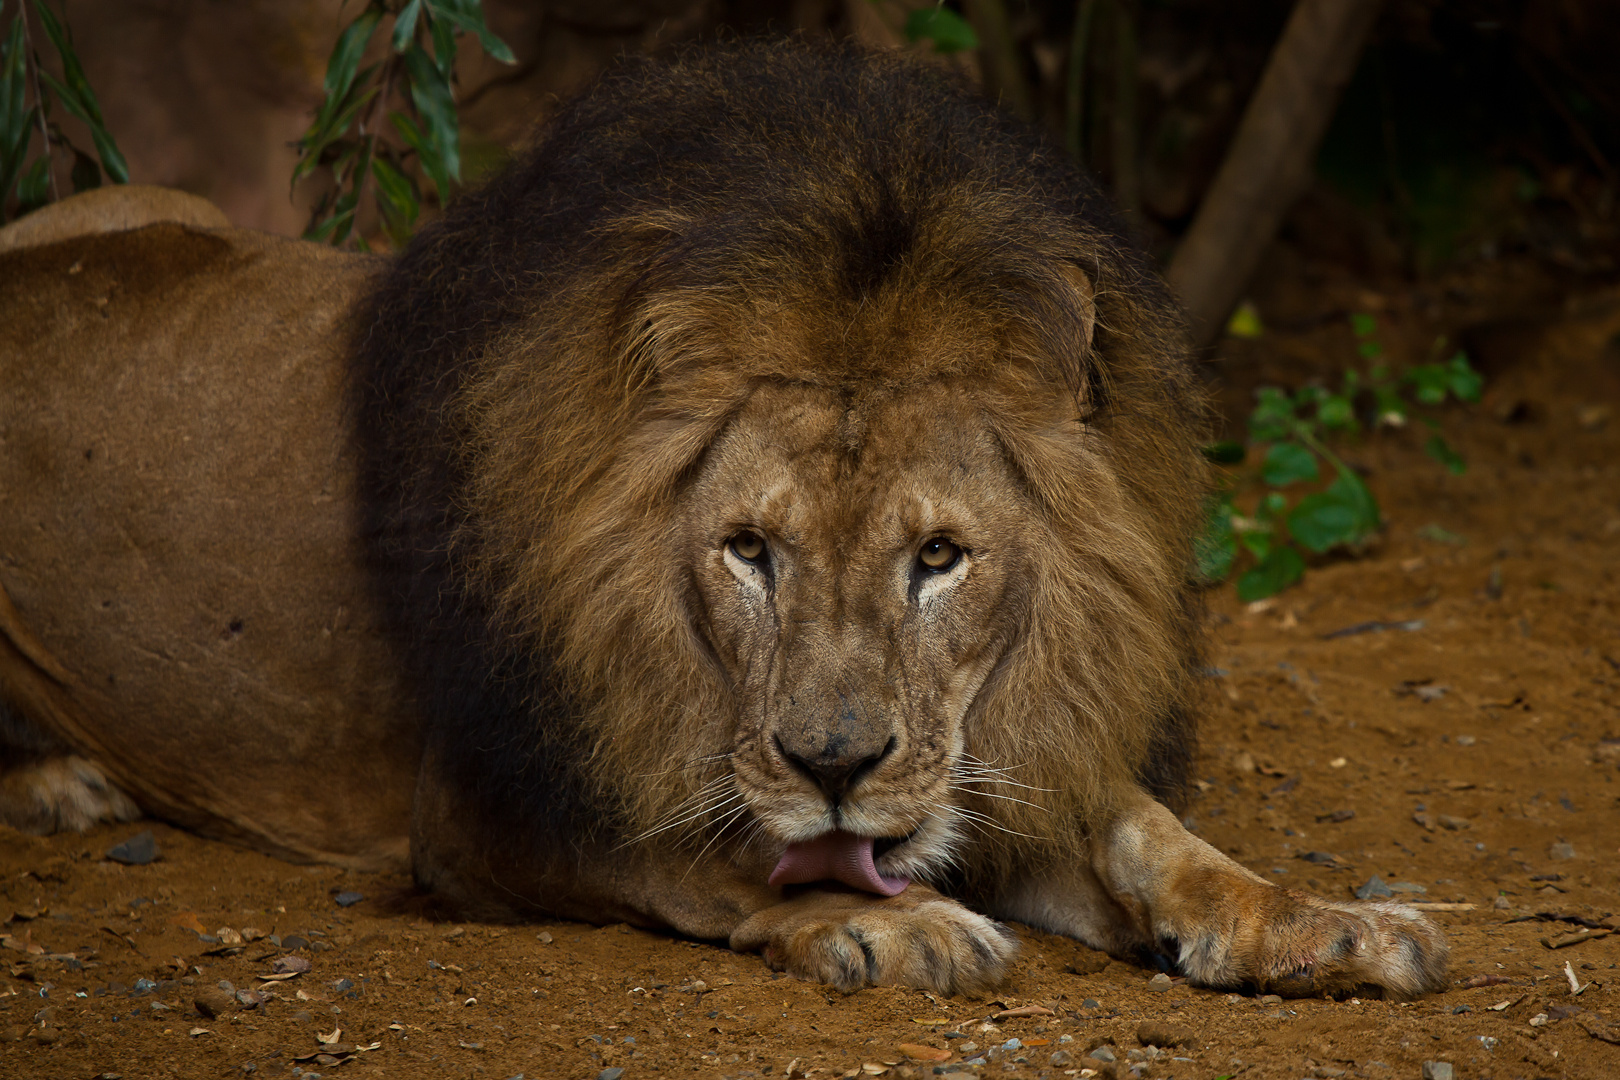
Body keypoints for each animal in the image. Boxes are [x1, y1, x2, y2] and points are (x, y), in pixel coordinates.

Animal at [0, 44, 1445, 1003]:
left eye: (939, 557)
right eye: (749, 550)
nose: (836, 766)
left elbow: (1152, 834)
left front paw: (1324, 923)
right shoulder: (481, 806)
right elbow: (712, 852)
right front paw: (903, 926)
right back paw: (63, 783)